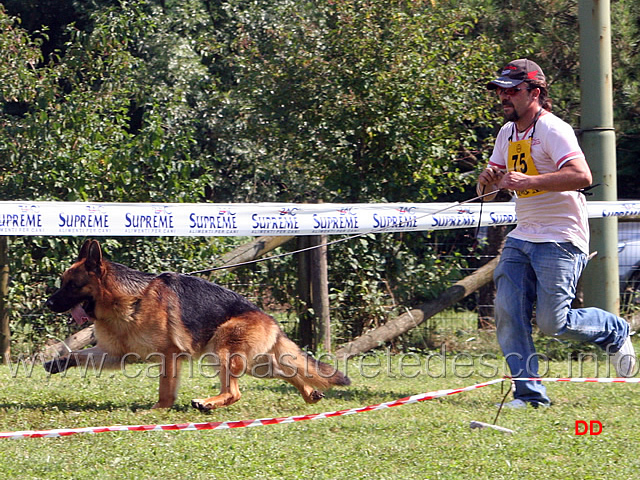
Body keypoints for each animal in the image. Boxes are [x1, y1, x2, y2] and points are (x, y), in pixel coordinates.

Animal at [44, 239, 350, 408]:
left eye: (72, 285)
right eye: (63, 283)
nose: (48, 304)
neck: (129, 299)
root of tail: (270, 319)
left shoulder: (169, 355)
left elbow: (166, 388)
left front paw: (158, 410)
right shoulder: (116, 354)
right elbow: (80, 355)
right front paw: (57, 363)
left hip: (225, 352)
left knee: (233, 392)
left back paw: (208, 403)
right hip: (253, 365)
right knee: (288, 371)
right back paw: (310, 394)